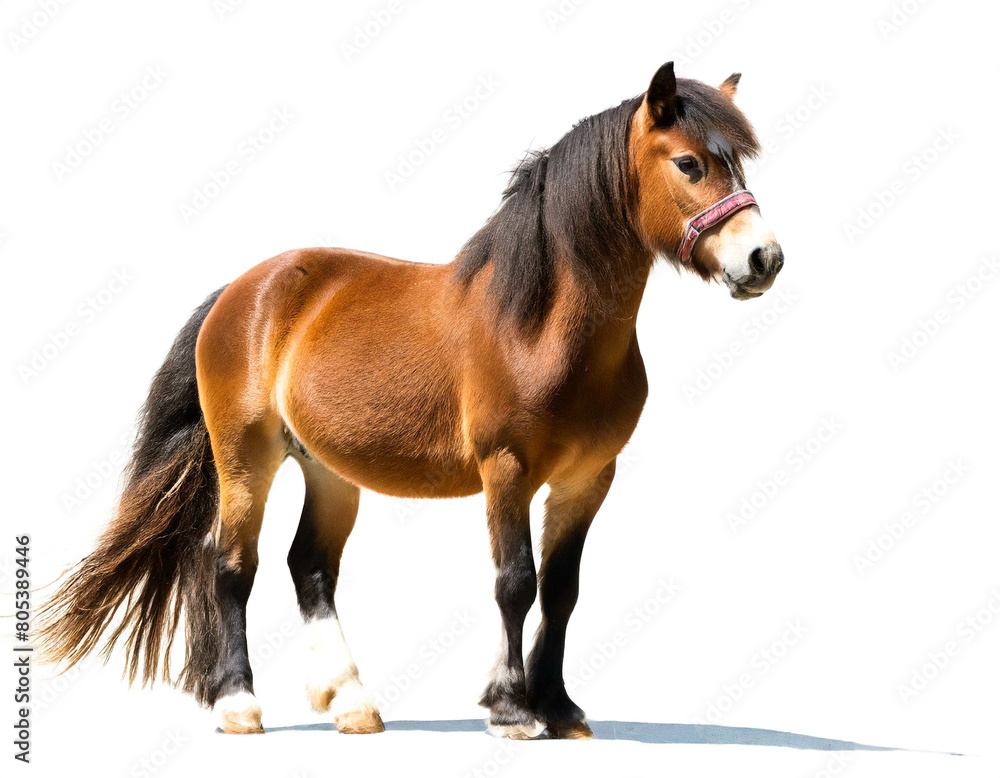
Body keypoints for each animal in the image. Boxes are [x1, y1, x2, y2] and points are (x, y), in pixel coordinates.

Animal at [38, 61, 783, 740]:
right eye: (689, 163)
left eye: (739, 163)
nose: (764, 259)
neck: (538, 325)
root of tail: (244, 290)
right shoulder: (506, 471)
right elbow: (515, 581)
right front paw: (512, 709)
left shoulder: (588, 479)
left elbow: (562, 589)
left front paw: (559, 707)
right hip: (245, 457)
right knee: (229, 565)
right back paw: (239, 705)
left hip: (328, 470)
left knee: (310, 568)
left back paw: (351, 702)